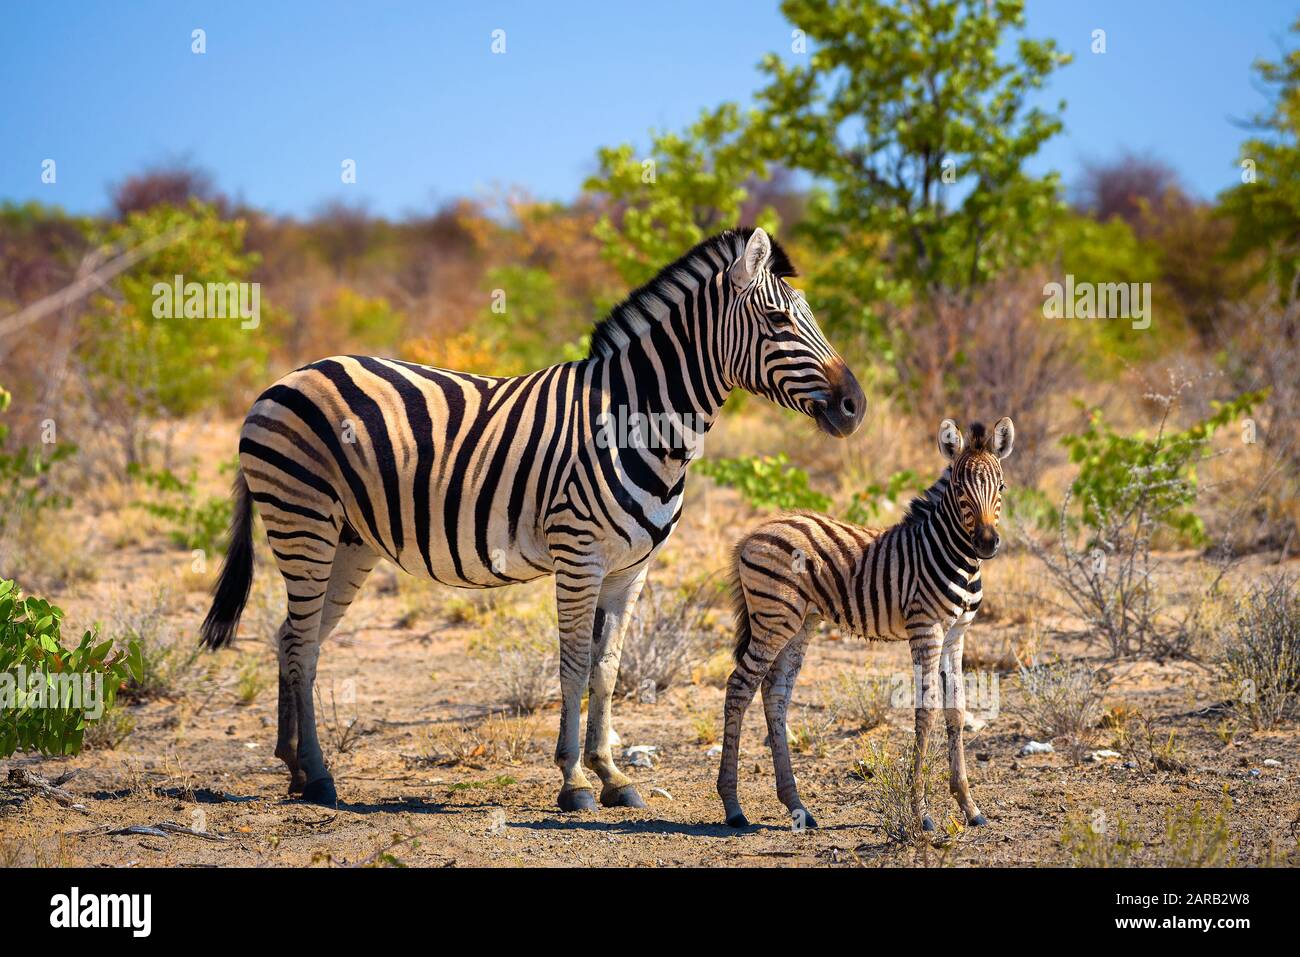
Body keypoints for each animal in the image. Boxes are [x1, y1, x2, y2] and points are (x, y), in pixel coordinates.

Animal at [199, 227, 866, 810]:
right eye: (779, 322)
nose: (855, 407)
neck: (637, 419)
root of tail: (284, 378)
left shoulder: (631, 570)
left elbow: (607, 669)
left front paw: (613, 775)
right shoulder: (579, 555)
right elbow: (572, 667)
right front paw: (574, 782)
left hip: (348, 540)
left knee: (294, 637)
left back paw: (294, 767)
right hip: (302, 518)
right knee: (302, 643)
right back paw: (318, 776)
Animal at [718, 416, 1014, 831]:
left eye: (1000, 487)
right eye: (959, 489)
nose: (986, 544)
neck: (953, 555)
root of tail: (752, 533)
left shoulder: (957, 633)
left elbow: (955, 710)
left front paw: (969, 807)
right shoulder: (926, 628)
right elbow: (926, 711)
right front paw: (921, 812)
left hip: (799, 623)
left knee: (774, 694)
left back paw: (796, 805)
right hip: (773, 619)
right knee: (739, 688)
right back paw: (733, 806)